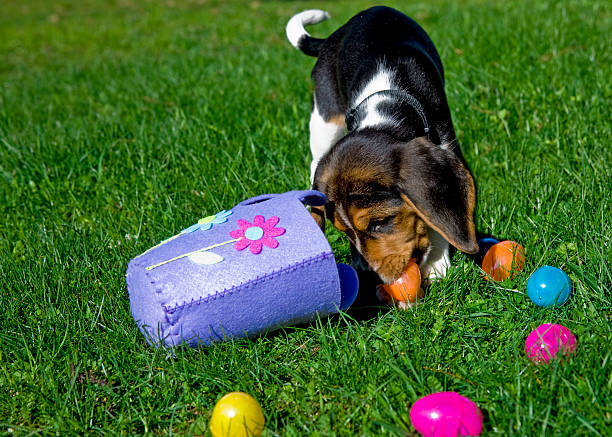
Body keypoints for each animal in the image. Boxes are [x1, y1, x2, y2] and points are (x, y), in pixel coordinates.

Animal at [286, 5, 478, 292]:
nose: (368, 278)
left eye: (380, 223)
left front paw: (437, 264)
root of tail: (333, 36)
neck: (386, 105)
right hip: (325, 117)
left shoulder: (446, 143)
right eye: (344, 233)